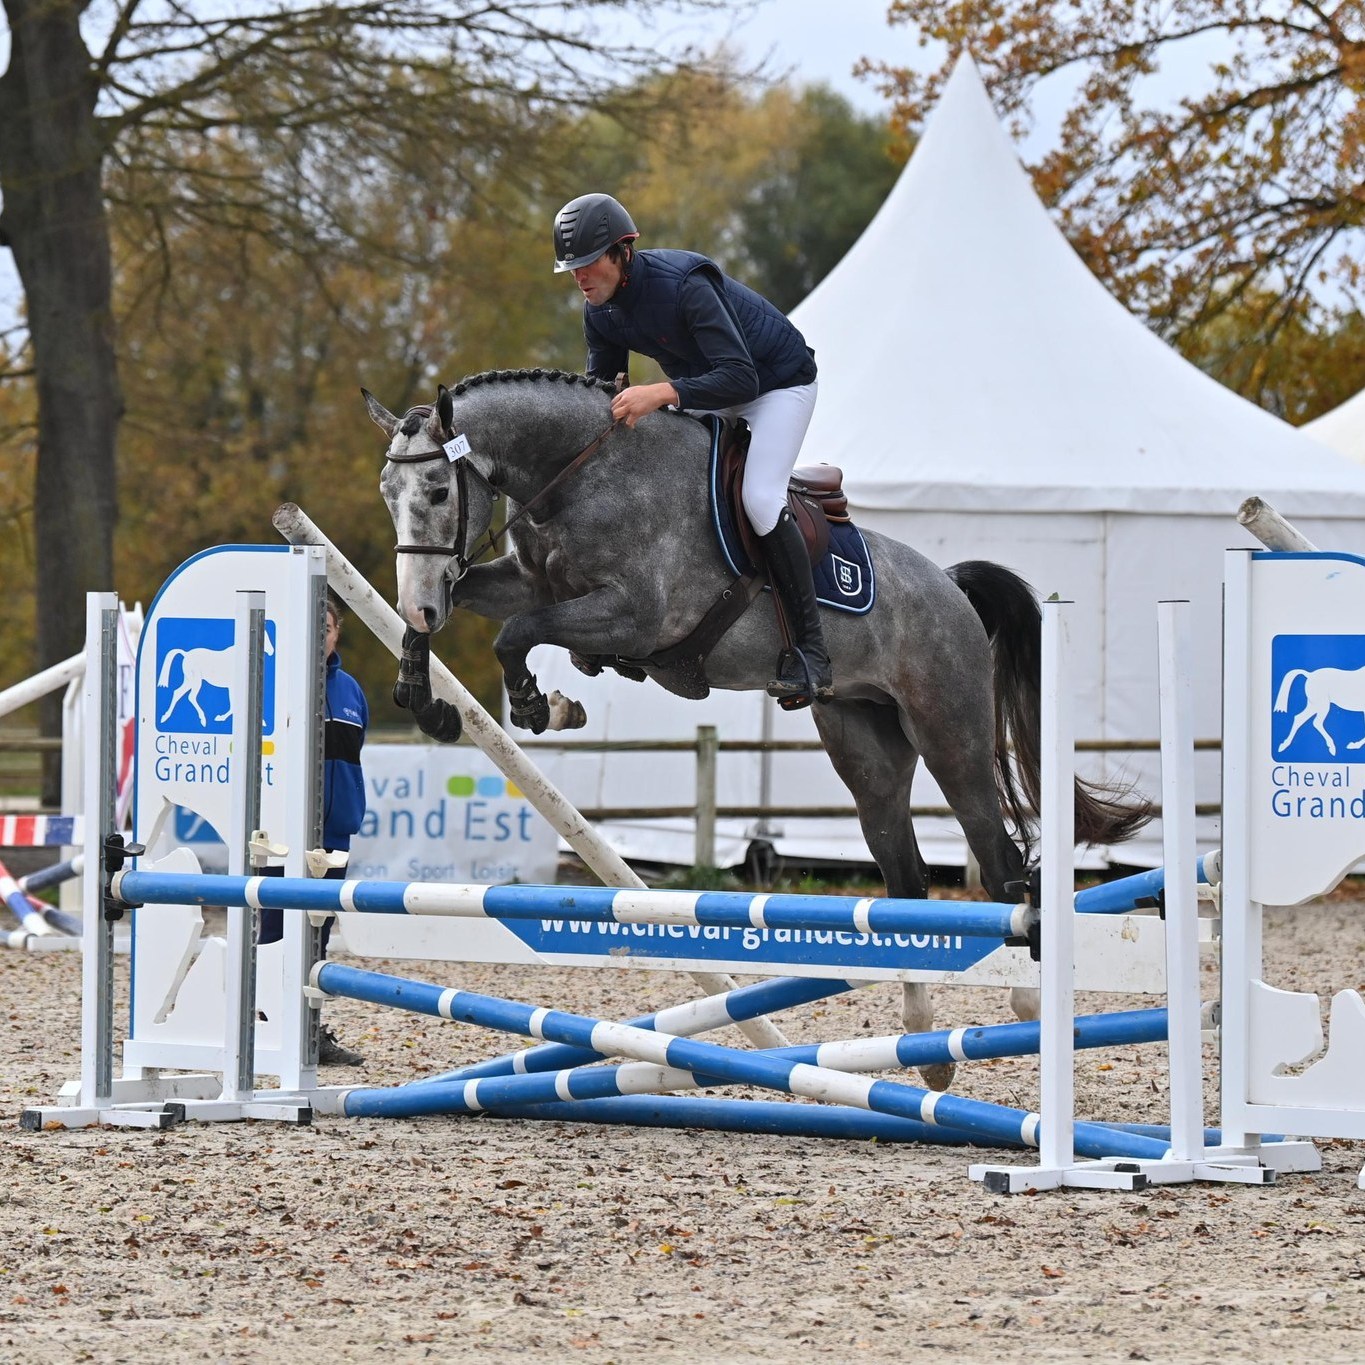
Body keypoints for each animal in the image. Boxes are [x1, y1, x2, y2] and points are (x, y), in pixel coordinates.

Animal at [365, 371, 1152, 1086]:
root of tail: (951, 587)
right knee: (905, 879)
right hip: (866, 749)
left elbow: (517, 635)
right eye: (387, 497)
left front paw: (538, 705)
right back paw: (923, 1045)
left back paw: (1023, 1002)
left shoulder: (635, 615)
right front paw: (424, 694)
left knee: (1000, 864)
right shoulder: (528, 582)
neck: (576, 475)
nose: (423, 601)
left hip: (948, 735)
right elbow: (472, 607)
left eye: (438, 493)